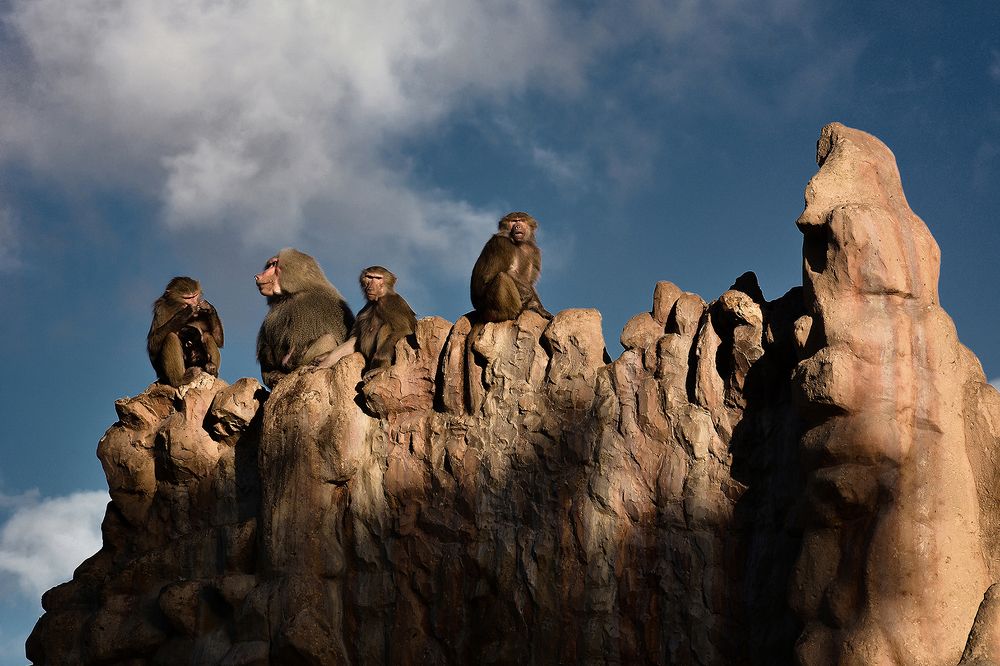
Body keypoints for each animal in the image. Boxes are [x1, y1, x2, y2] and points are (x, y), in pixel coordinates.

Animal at [255, 248, 355, 389]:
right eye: (269, 265)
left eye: (274, 265)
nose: (257, 276)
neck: (293, 293)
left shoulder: (304, 308)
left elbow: (294, 348)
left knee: (327, 339)